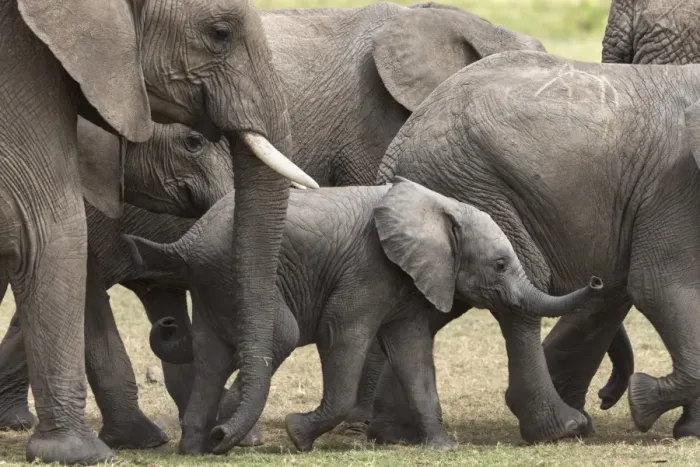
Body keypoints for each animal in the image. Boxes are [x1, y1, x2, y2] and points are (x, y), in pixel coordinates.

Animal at [122, 178, 605, 452]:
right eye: (501, 265)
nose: (598, 280)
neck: (441, 206)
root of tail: (187, 242)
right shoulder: (367, 270)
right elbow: (343, 335)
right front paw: (298, 435)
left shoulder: (405, 281)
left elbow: (414, 352)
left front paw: (442, 449)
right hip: (232, 276)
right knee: (279, 335)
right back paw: (226, 432)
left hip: (211, 284)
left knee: (212, 356)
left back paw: (198, 447)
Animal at [376, 49, 700, 441]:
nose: (607, 397)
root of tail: (397, 145)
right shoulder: (673, 185)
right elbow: (660, 287)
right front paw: (643, 402)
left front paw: (690, 429)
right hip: (472, 184)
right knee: (519, 296)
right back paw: (561, 428)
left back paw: (392, 432)